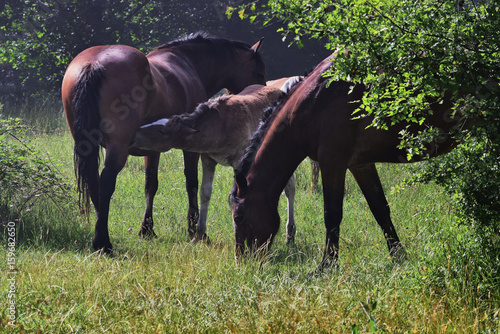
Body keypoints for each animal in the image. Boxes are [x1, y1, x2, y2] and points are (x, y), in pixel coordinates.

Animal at [62, 33, 268, 253]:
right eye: (258, 72)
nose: (262, 96)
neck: (188, 63)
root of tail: (93, 63)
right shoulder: (191, 146)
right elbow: (191, 183)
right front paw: (194, 229)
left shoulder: (151, 149)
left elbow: (151, 185)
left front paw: (147, 229)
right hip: (117, 148)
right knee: (106, 182)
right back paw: (103, 241)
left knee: (94, 183)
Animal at [131, 83, 296, 245]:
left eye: (161, 131)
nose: (133, 135)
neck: (220, 127)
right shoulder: (208, 159)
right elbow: (205, 192)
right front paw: (199, 234)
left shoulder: (239, 161)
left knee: (290, 188)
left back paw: (290, 235)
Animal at [232, 54, 462, 268]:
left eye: (238, 217)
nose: (242, 261)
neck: (315, 102)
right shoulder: (360, 165)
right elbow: (380, 210)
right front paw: (398, 256)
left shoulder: (332, 162)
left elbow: (332, 215)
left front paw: (327, 265)